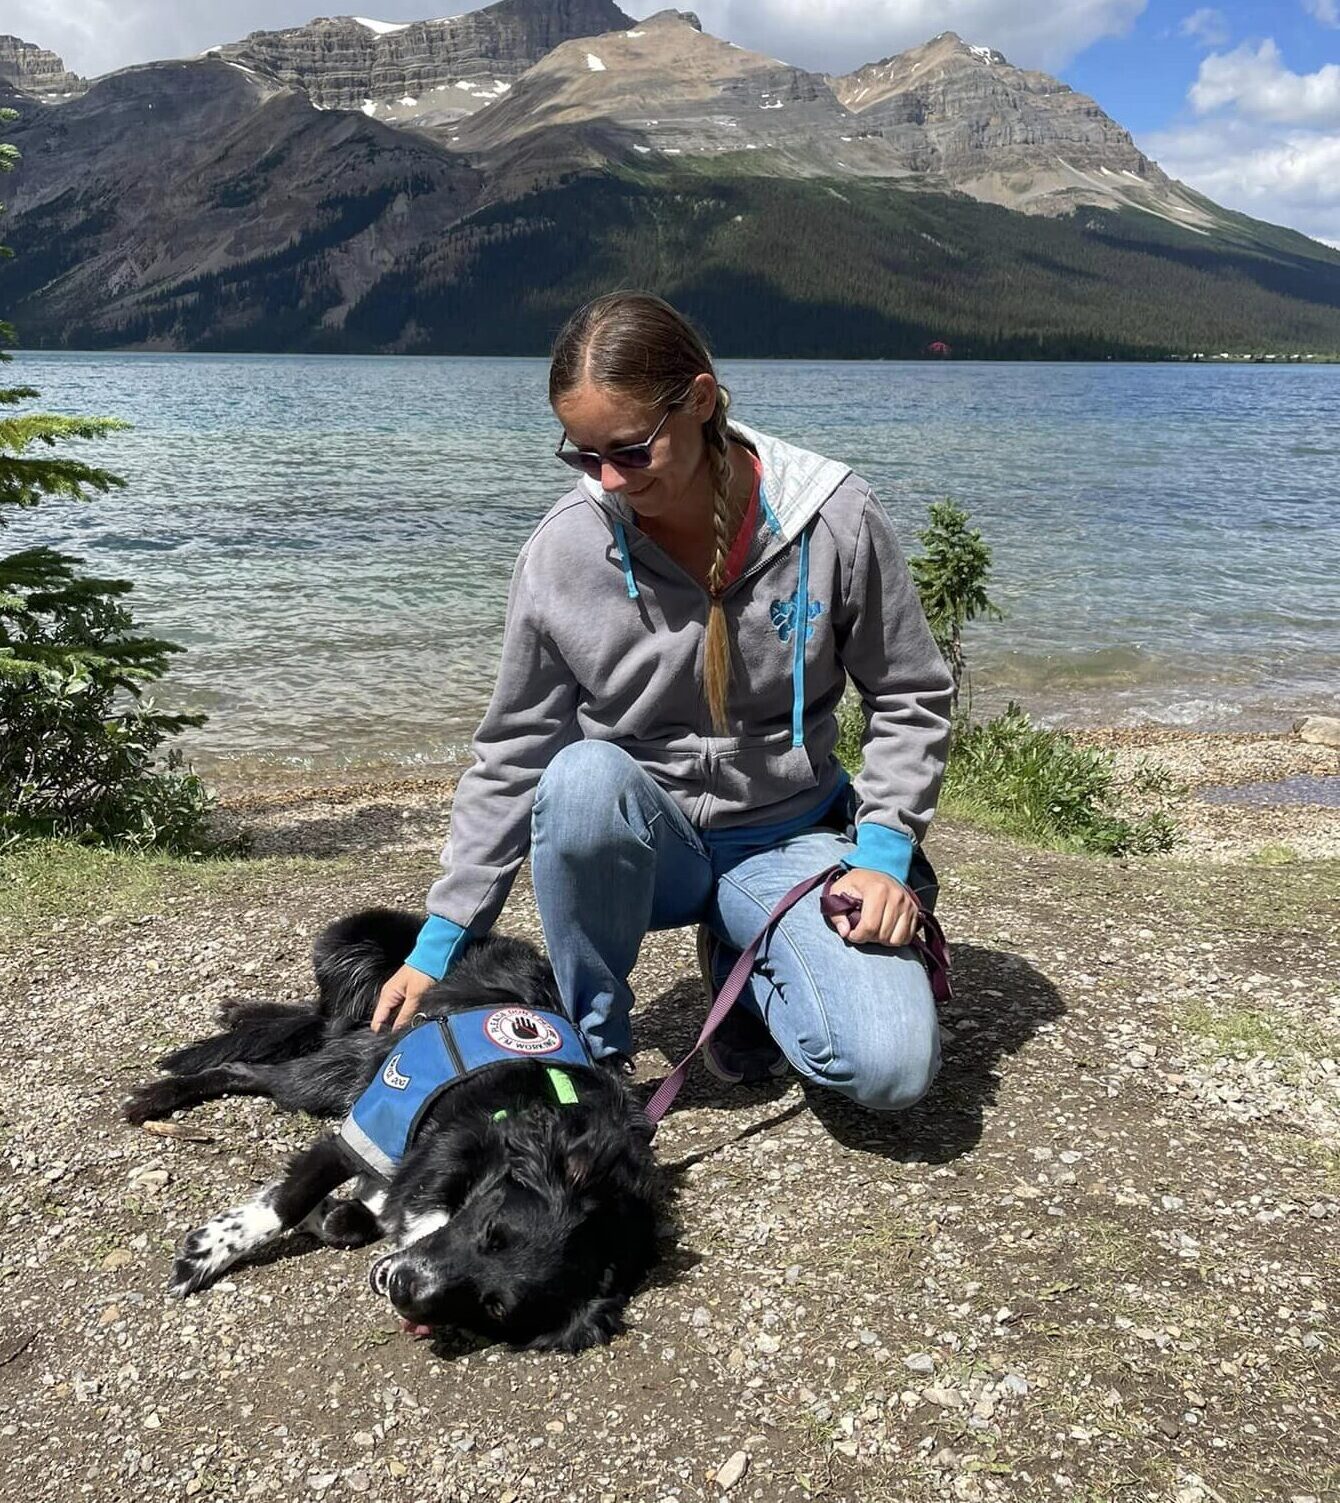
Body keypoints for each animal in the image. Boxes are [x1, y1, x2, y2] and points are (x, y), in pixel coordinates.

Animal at [125, 907, 660, 1358]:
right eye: (492, 1232)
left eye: (496, 1308)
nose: (404, 1290)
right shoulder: (360, 1132)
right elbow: (286, 1204)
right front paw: (206, 1254)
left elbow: (342, 1217)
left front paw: (332, 1215)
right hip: (347, 1019)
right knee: (259, 1061)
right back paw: (161, 1091)